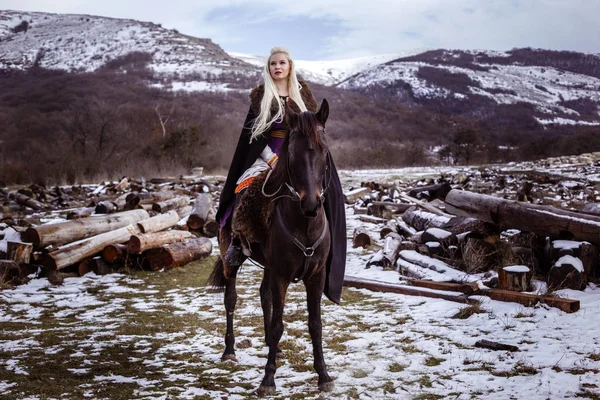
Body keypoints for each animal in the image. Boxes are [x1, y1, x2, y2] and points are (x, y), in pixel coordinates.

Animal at [210, 99, 332, 394]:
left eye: (324, 151)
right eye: (293, 153)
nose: (311, 205)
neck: (304, 224)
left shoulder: (316, 275)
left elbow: (315, 324)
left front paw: (323, 375)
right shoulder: (281, 275)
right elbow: (278, 324)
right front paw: (268, 379)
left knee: (263, 295)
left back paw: (272, 349)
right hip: (232, 258)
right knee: (231, 299)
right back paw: (229, 350)